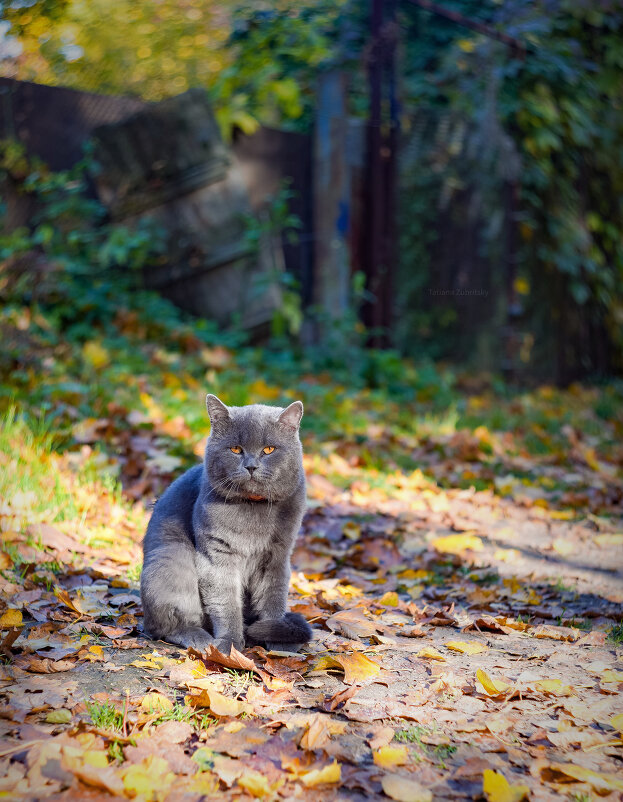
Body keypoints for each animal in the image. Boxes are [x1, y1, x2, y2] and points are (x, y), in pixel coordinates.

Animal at [141, 392, 312, 648]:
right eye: (235, 449)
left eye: (269, 449)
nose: (251, 466)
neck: (253, 508)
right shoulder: (217, 556)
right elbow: (226, 603)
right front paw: (229, 645)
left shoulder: (278, 555)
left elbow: (274, 598)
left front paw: (280, 644)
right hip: (171, 557)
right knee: (166, 625)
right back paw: (201, 640)